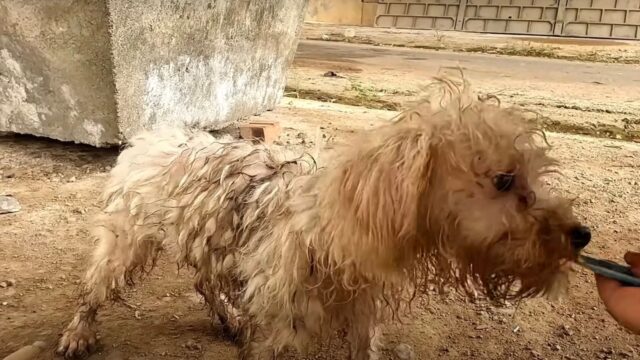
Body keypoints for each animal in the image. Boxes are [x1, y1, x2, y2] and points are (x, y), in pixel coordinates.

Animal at [55, 77, 592, 358]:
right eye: (503, 179)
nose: (581, 235)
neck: (339, 228)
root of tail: (155, 135)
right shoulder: (284, 323)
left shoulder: (361, 310)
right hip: (125, 238)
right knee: (94, 288)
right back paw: (77, 334)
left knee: (205, 280)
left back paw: (229, 320)